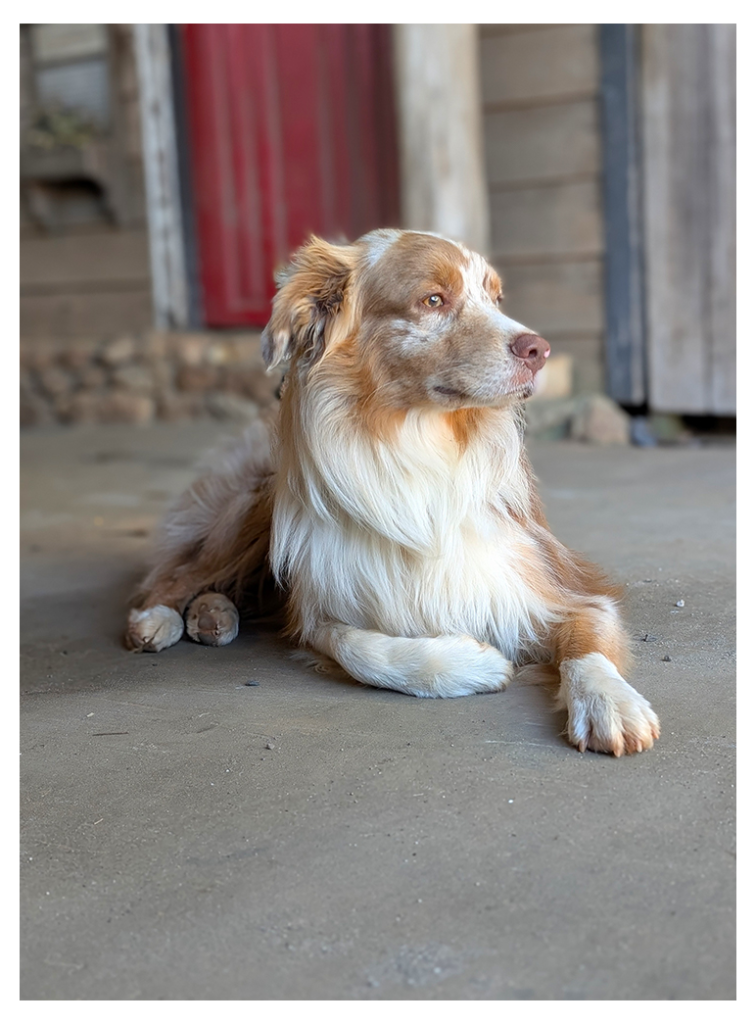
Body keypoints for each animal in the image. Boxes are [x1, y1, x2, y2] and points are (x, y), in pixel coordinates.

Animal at [123, 232, 655, 757]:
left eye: (497, 298)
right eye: (433, 299)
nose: (539, 349)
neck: (419, 451)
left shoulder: (565, 588)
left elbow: (588, 641)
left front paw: (609, 702)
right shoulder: (318, 609)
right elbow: (361, 649)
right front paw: (474, 665)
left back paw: (213, 616)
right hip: (250, 504)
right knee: (175, 574)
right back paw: (157, 619)